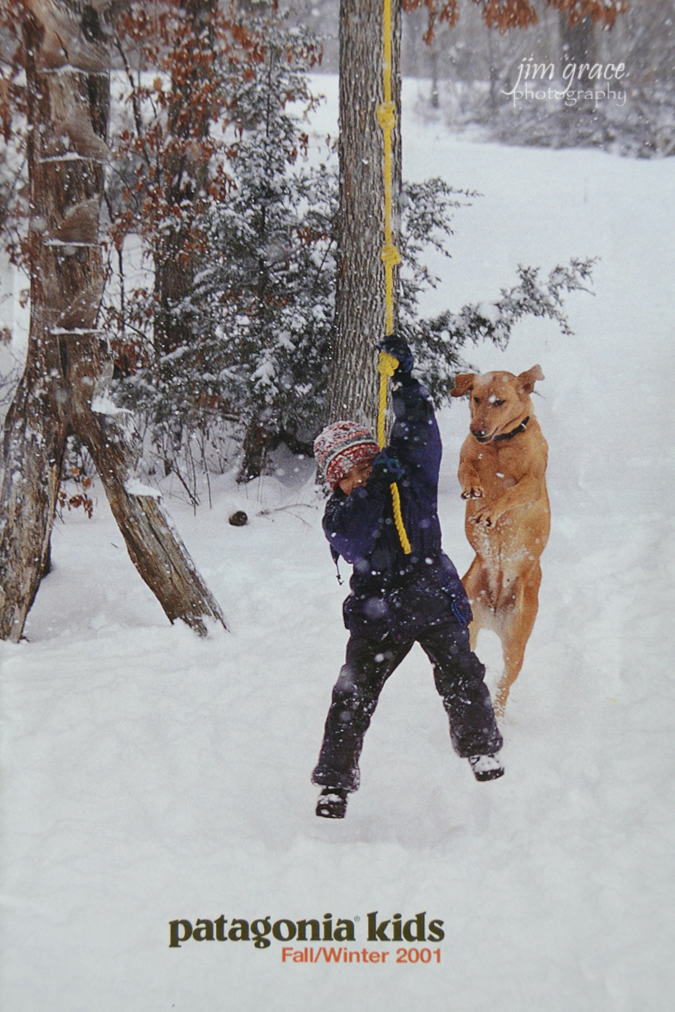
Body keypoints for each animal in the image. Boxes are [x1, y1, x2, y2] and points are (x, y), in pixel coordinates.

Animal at [450, 366, 550, 715]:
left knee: (505, 684)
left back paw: (497, 711)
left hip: (517, 639)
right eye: (476, 398)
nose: (477, 429)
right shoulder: (466, 456)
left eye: (499, 401)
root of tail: (493, 610)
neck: (499, 445)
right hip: (466, 620)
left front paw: (490, 511)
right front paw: (473, 489)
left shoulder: (532, 483)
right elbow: (466, 469)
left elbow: (510, 493)